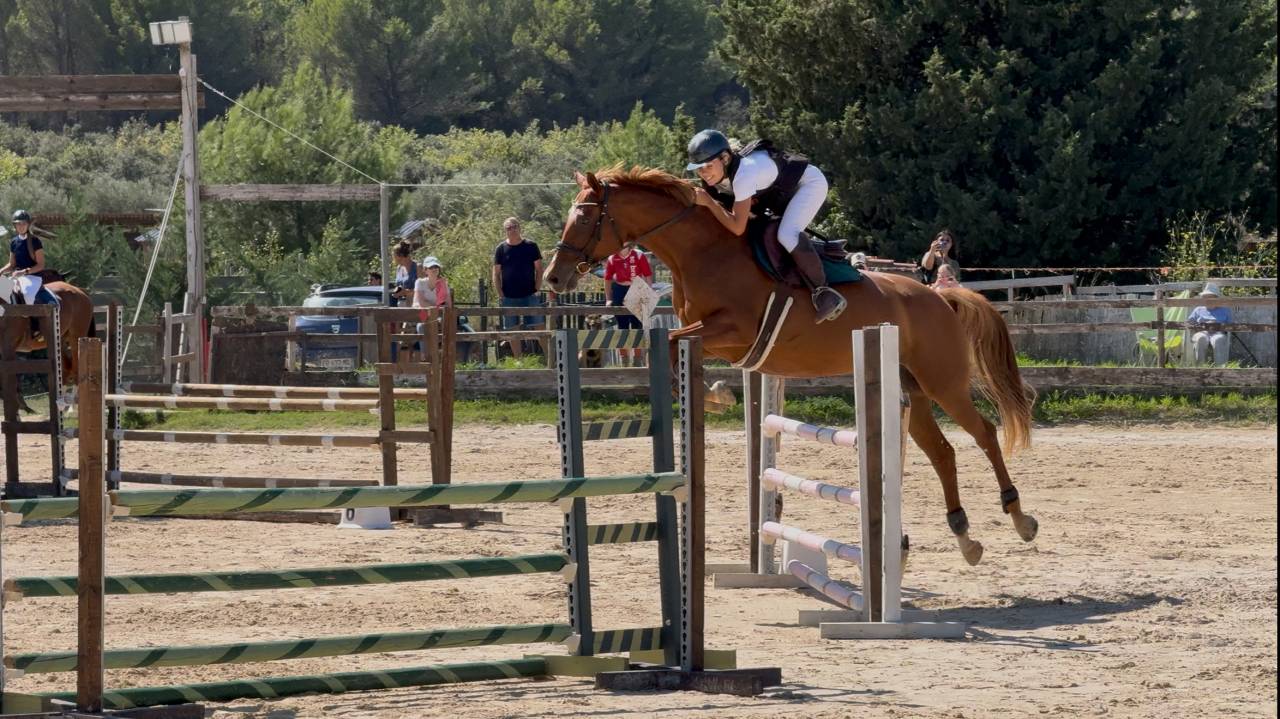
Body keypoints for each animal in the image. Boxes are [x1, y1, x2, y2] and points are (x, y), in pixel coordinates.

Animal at [0, 275, 96, 413]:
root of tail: (80, 290)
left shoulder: (9, 346)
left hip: (75, 337)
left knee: (75, 368)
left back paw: (71, 407)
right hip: (60, 339)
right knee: (65, 370)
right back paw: (62, 405)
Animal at [543, 168, 1038, 565]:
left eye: (584, 217)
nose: (552, 277)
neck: (703, 252)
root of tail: (941, 296)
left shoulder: (733, 329)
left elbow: (667, 342)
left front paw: (716, 395)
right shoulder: (715, 337)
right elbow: (665, 346)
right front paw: (715, 394)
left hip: (943, 383)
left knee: (984, 434)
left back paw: (1019, 517)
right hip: (912, 392)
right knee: (943, 452)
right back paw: (966, 538)